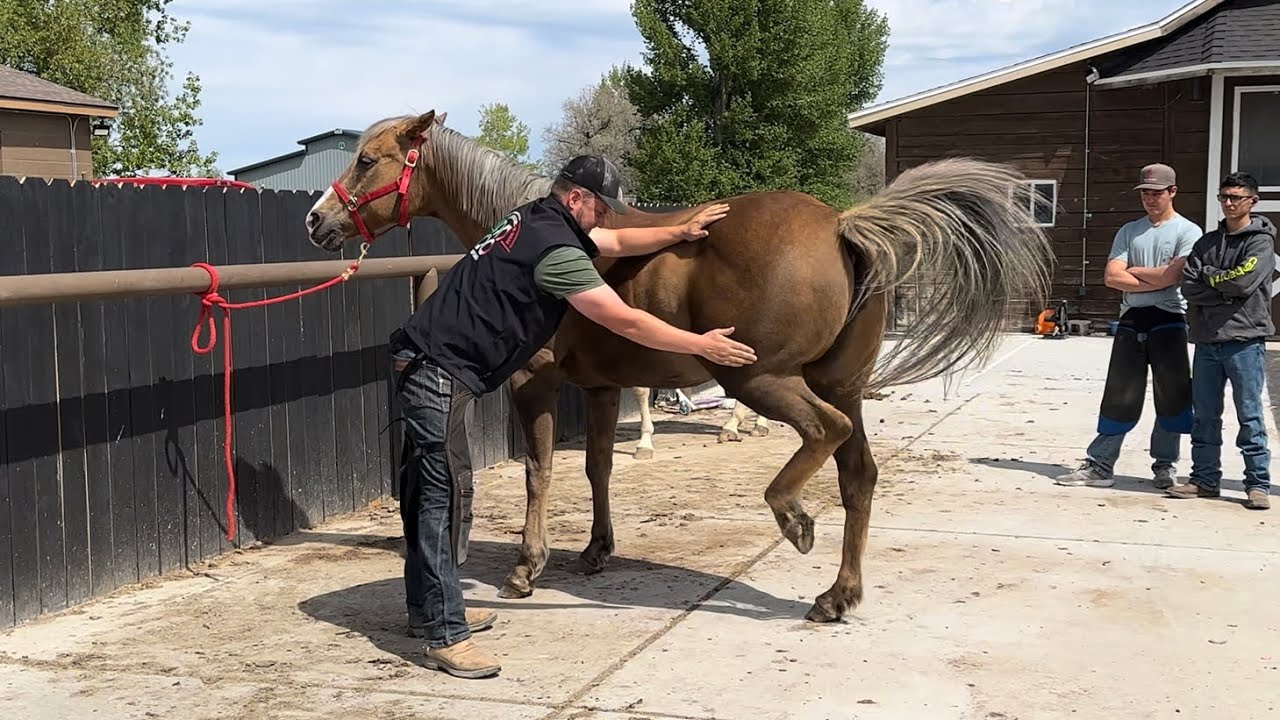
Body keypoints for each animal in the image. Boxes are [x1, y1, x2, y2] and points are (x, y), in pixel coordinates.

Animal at [304, 110, 1052, 622]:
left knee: (824, 434)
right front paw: (597, 551)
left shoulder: (534, 381)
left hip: (762, 379)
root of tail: (842, 226)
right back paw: (837, 595)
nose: (316, 220)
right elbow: (598, 468)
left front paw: (527, 566)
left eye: (367, 160)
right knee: (858, 475)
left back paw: (793, 519)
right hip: (840, 384)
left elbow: (540, 471)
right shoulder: (604, 389)